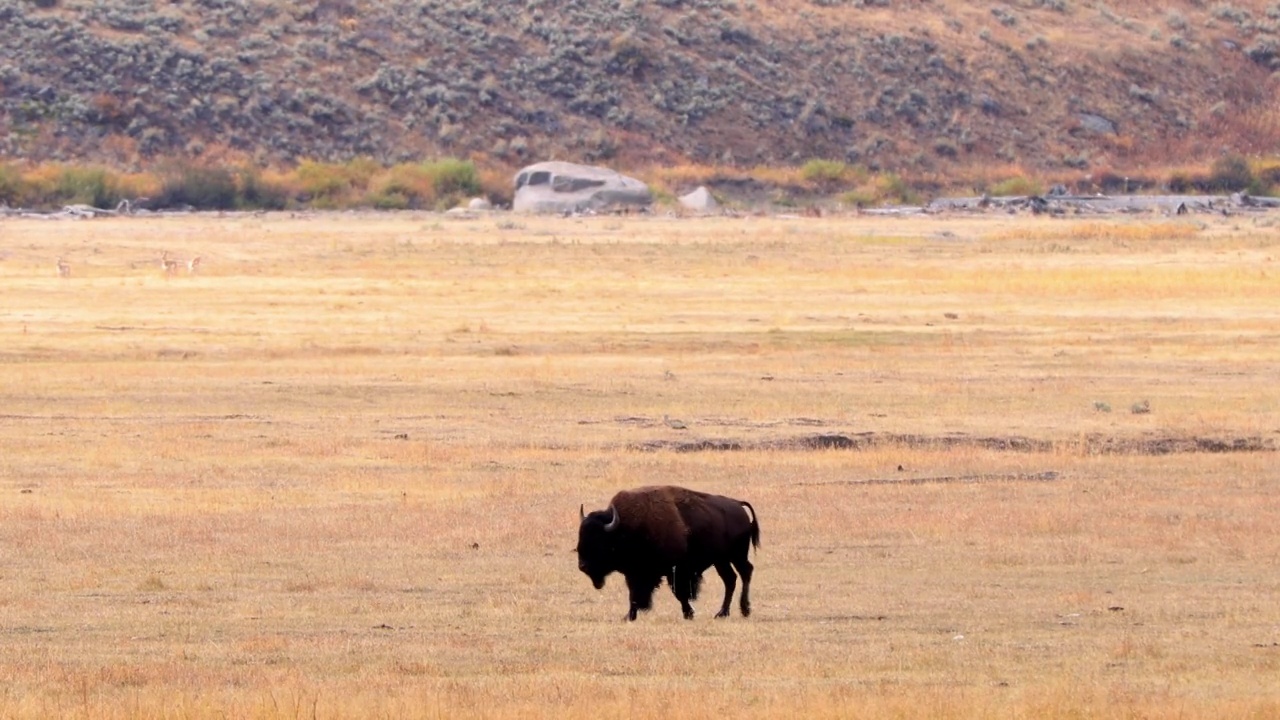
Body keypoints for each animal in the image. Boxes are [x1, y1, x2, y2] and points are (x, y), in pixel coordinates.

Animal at [576, 484, 752, 620]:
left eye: (598, 541)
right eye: (581, 537)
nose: (582, 566)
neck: (625, 528)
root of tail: (738, 505)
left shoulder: (676, 570)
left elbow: (679, 593)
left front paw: (688, 614)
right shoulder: (635, 573)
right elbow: (634, 594)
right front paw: (629, 616)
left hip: (737, 556)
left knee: (745, 573)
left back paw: (744, 610)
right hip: (721, 560)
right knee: (730, 579)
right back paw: (722, 613)